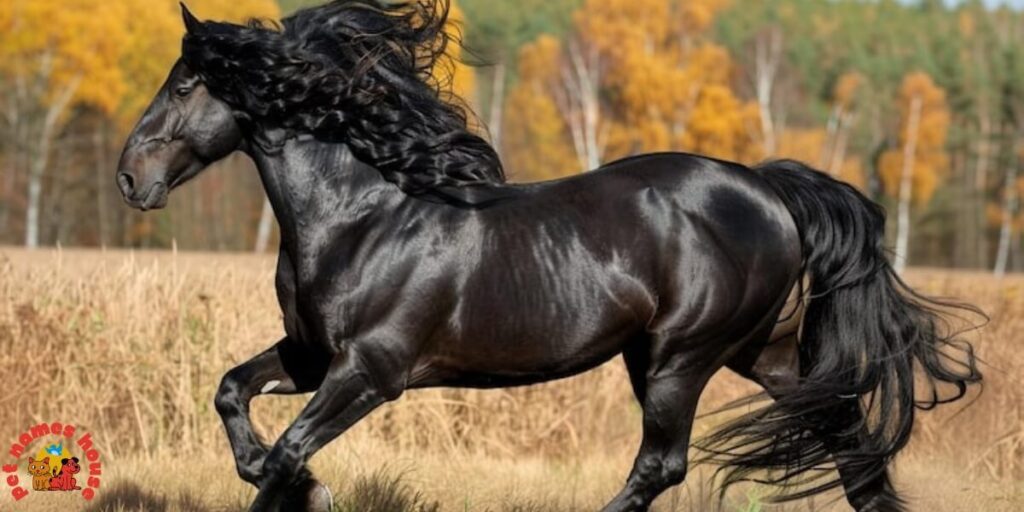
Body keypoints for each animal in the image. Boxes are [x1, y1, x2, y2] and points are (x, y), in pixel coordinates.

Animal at [116, 2, 981, 511]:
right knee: (843, 432)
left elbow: (286, 454)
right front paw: (301, 484)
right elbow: (234, 397)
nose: (131, 177)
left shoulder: (370, 370)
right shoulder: (309, 355)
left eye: (188, 82)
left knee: (663, 465)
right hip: (759, 353)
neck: (361, 218)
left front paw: (305, 488)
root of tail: (769, 189)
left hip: (679, 357)